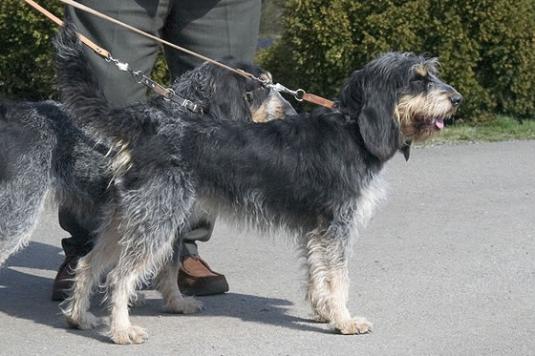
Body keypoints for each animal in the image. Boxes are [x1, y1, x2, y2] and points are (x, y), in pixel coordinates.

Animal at [55, 23, 464, 344]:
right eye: (418, 79)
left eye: (431, 76)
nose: (458, 99)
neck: (352, 129)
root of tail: (147, 126)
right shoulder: (336, 227)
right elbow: (338, 276)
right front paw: (345, 320)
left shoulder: (317, 230)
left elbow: (317, 273)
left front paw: (324, 312)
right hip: (158, 220)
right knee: (120, 275)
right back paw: (121, 331)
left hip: (129, 217)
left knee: (89, 262)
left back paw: (78, 316)